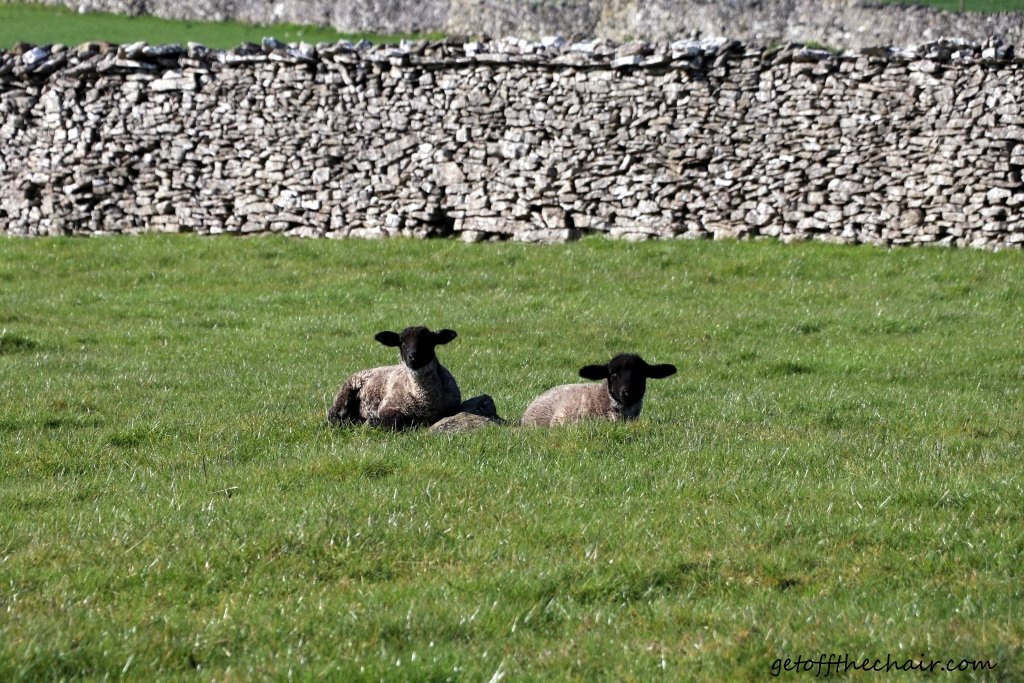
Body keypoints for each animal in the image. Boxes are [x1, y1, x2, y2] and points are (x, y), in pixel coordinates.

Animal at [327, 326, 461, 430]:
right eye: (402, 343)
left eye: (428, 341)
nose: (414, 357)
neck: (424, 398)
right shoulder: (387, 407)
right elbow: (397, 420)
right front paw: (371, 422)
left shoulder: (451, 409)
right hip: (345, 393)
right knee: (332, 416)